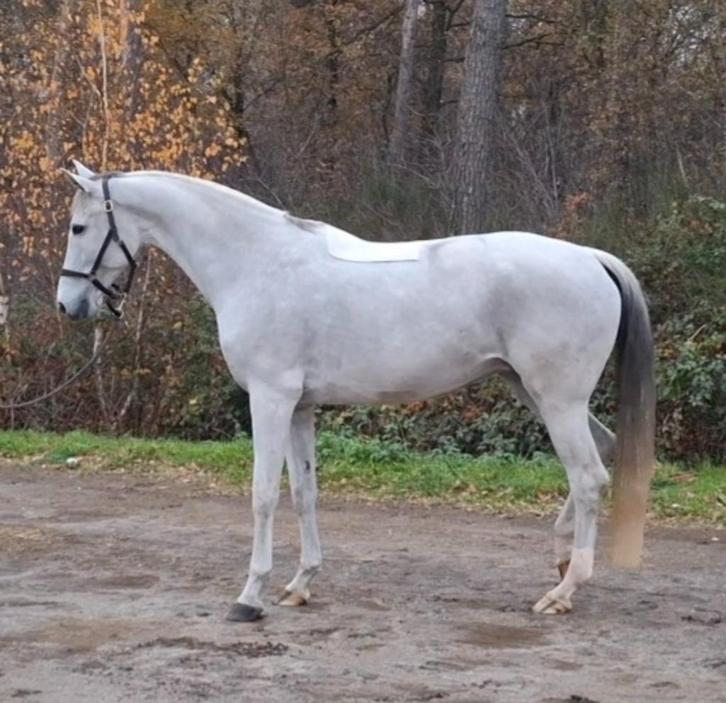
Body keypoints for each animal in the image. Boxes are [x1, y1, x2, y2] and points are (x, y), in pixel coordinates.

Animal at [56, 162, 655, 621]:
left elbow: (262, 495)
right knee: (600, 454)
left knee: (588, 477)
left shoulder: (269, 400)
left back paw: (563, 591)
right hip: (537, 393)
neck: (257, 261)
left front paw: (250, 597)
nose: (69, 306)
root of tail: (591, 257)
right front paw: (300, 584)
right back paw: (561, 563)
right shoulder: (299, 407)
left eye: (79, 228)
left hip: (556, 400)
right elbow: (304, 492)